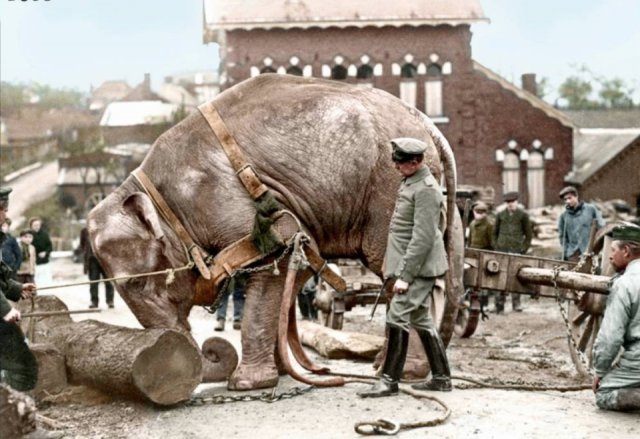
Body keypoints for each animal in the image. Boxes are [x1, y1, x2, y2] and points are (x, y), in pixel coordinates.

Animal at [87, 75, 462, 392]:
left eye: (137, 284)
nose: (208, 350)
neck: (150, 189)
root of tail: (428, 125)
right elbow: (296, 271)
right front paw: (283, 373)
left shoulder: (230, 203)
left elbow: (272, 266)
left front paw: (246, 385)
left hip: (389, 191)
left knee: (396, 269)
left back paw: (400, 373)